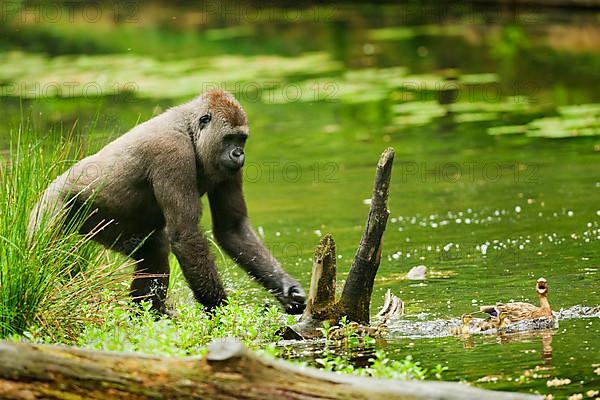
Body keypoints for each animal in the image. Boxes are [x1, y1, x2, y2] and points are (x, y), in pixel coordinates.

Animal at [29, 90, 308, 316]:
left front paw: (286, 289)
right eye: (229, 138)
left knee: (154, 251)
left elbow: (233, 228)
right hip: (52, 206)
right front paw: (221, 312)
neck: (191, 130)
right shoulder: (172, 152)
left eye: (242, 139)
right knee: (47, 254)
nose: (239, 154)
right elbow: (186, 235)